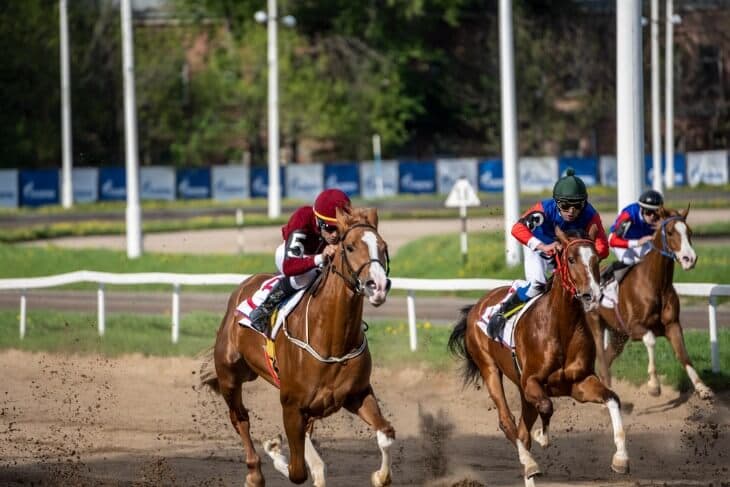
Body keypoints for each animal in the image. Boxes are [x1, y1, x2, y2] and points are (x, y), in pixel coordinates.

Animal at [199, 207, 395, 487]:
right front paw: (273, 448)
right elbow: (297, 470)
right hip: (230, 376)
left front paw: (379, 475)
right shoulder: (291, 406)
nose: (377, 286)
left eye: (383, 246)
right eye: (349, 247)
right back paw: (254, 473)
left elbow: (385, 433)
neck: (332, 341)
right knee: (240, 418)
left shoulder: (357, 394)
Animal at [448, 227, 630, 486]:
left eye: (596, 260)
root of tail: (476, 306)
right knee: (508, 422)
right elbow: (546, 406)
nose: (591, 295)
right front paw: (543, 437)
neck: (561, 326)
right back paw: (529, 463)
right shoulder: (532, 381)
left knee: (522, 431)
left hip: (522, 390)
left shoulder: (578, 382)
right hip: (489, 368)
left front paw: (621, 459)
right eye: (571, 259)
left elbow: (613, 398)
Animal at [586, 206, 713, 399]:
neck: (656, 284)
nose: (689, 259)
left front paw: (702, 388)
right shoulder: (634, 327)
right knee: (601, 358)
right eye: (670, 232)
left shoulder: (672, 325)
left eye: (690, 232)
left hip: (618, 334)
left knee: (607, 359)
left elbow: (683, 354)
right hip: (595, 323)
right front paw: (654, 385)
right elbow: (651, 340)